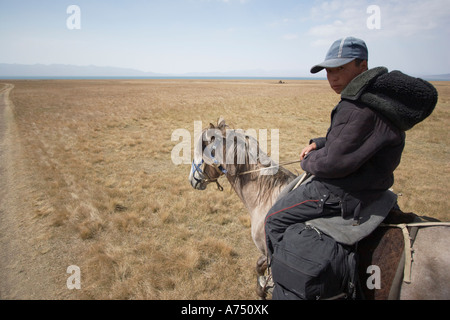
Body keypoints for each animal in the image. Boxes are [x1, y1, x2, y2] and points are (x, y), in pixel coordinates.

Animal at [189, 118, 450, 300]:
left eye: (202, 148)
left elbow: (260, 267)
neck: (268, 194)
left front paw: (263, 288)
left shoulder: (268, 250)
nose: (193, 179)